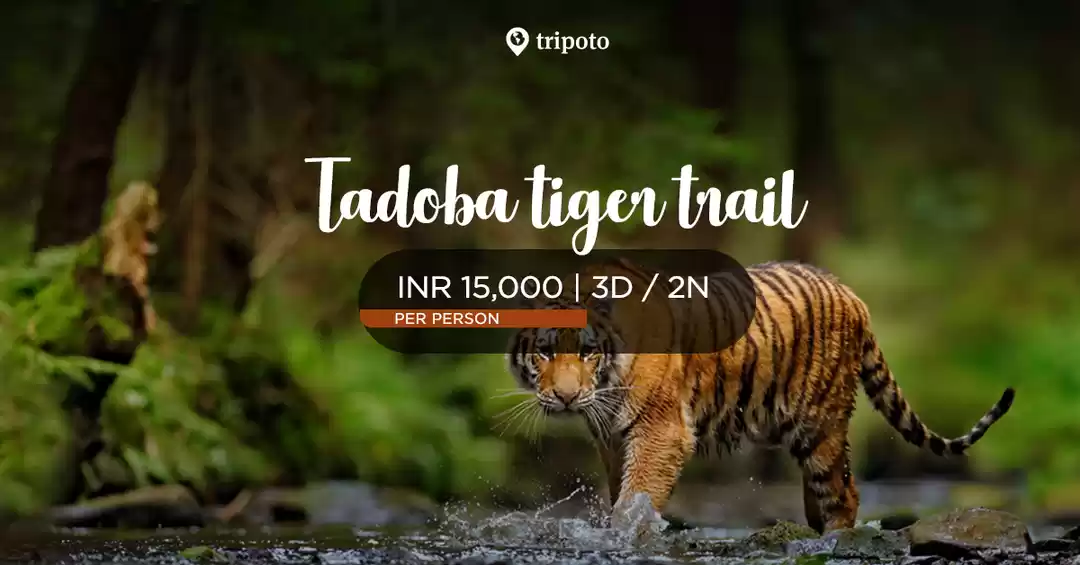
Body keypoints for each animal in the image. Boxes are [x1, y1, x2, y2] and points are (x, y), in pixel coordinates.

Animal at [505, 259, 1014, 534]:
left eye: (588, 352)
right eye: (545, 351)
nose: (567, 397)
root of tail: (851, 293)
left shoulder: (660, 432)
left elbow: (637, 498)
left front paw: (626, 535)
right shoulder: (612, 438)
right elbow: (622, 494)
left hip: (820, 423)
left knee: (844, 494)